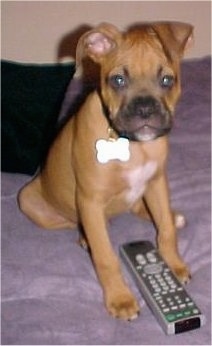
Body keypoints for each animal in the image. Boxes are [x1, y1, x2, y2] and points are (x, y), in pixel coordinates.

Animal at [18, 21, 194, 320]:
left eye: (167, 80)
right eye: (118, 80)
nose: (145, 109)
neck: (133, 144)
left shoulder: (157, 182)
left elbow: (166, 230)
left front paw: (174, 264)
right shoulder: (89, 199)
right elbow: (105, 257)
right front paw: (120, 298)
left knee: (145, 210)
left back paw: (169, 215)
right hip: (28, 199)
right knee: (76, 223)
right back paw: (85, 237)